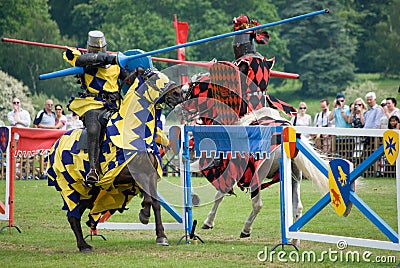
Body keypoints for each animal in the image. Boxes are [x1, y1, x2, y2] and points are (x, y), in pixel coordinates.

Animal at [47, 68, 184, 251]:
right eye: (149, 76)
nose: (177, 93)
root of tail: (56, 144)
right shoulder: (122, 176)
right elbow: (147, 196)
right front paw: (143, 214)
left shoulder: (151, 175)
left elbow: (155, 202)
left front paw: (161, 235)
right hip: (71, 188)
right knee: (72, 215)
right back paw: (84, 245)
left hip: (89, 192)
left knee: (75, 214)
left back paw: (85, 242)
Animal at [179, 68, 328, 243]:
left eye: (196, 85)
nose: (180, 103)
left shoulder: (232, 170)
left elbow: (219, 194)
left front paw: (208, 221)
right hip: (294, 176)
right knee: (297, 207)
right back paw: (294, 240)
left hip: (259, 174)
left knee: (258, 204)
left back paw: (246, 229)